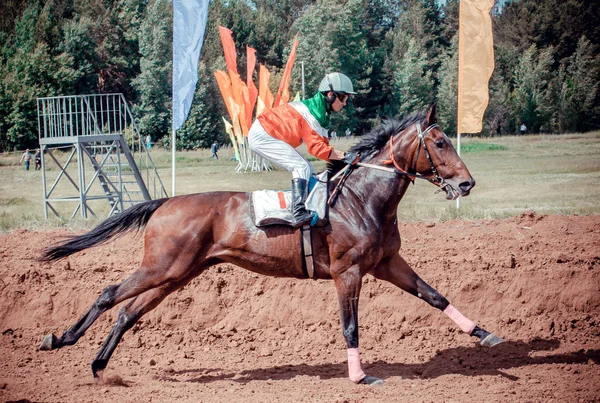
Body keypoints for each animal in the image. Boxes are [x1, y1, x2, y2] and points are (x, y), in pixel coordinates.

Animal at [39, 104, 504, 386]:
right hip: (163, 267)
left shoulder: (387, 262)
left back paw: (100, 365)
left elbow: (435, 296)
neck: (363, 199)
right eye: (440, 142)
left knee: (128, 312)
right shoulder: (348, 271)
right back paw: (59, 340)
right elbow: (350, 325)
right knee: (108, 293)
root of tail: (166, 202)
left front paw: (485, 335)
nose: (467, 183)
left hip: (177, 274)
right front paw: (360, 376)